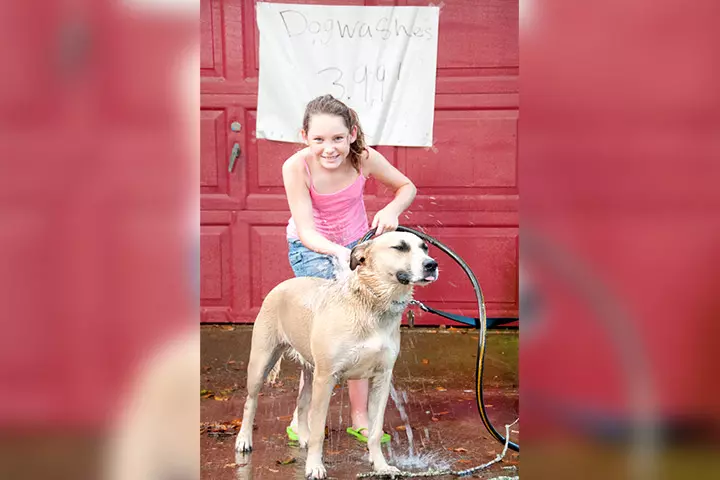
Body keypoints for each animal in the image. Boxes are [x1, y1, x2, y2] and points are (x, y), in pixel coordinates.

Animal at [236, 231, 438, 478]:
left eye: (425, 248)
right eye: (400, 247)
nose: (432, 264)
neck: (372, 303)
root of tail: (283, 284)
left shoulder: (382, 377)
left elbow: (375, 431)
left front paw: (380, 465)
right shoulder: (326, 378)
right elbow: (318, 432)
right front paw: (314, 466)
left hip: (311, 372)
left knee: (301, 403)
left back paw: (302, 436)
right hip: (262, 363)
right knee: (251, 402)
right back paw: (244, 440)